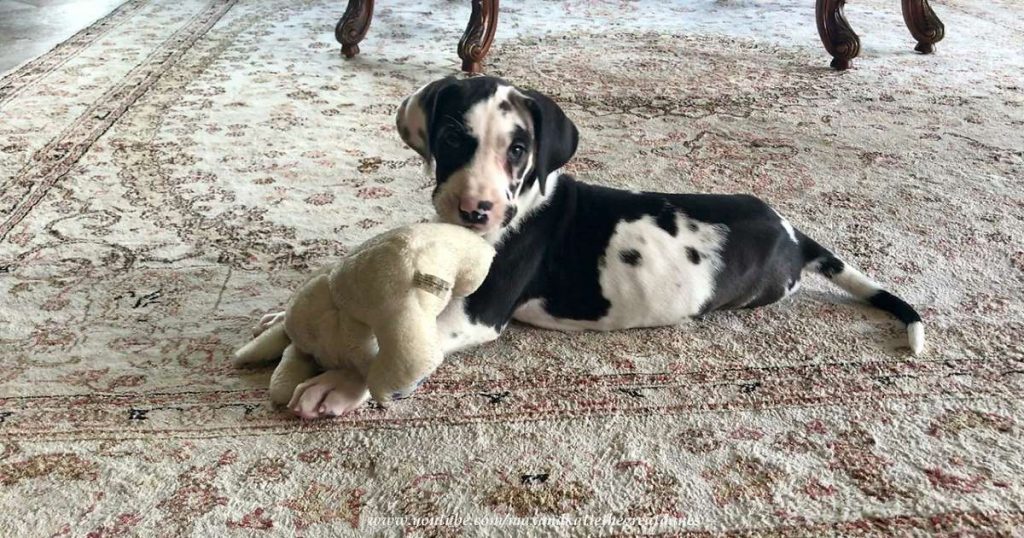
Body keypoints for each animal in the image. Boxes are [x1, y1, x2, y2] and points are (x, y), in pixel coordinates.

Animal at [260, 76, 925, 420]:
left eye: (518, 150)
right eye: (452, 137)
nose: (475, 211)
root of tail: (791, 231)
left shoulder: (480, 309)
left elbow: (397, 341)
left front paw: (340, 383)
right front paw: (281, 321)